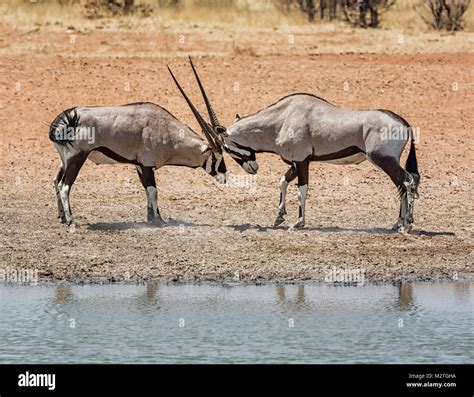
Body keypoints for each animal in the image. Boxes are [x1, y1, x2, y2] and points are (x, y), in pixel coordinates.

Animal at [48, 86, 228, 226]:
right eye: (216, 157)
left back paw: (62, 217)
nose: (224, 177)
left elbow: (146, 190)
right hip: (77, 159)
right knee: (64, 186)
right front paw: (158, 220)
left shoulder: (139, 165)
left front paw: (151, 218)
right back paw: (71, 220)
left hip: (65, 160)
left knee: (56, 181)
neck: (167, 130)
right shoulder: (148, 165)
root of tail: (62, 122)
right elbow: (153, 190)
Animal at [174, 59, 418, 232]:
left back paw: (407, 224)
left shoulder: (302, 161)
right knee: (402, 185)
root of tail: (404, 123)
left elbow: (302, 190)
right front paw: (279, 216)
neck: (281, 119)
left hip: (383, 159)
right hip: (386, 161)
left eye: (225, 148)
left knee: (407, 182)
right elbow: (283, 182)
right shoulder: (295, 162)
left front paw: (298, 223)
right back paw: (397, 223)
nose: (253, 168)